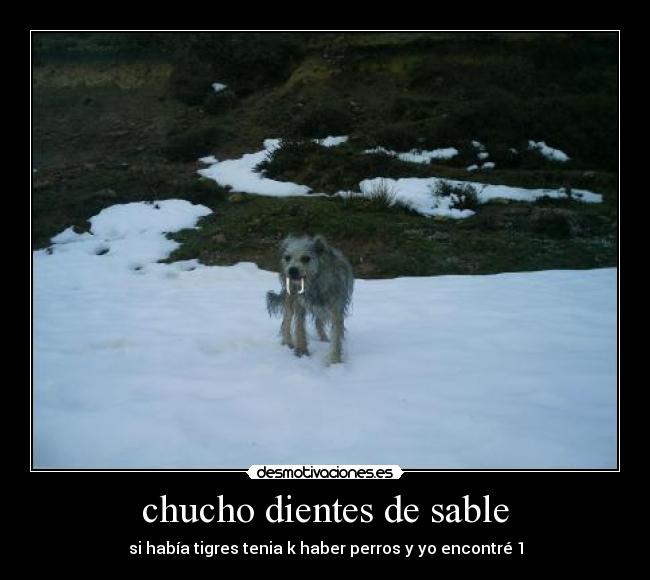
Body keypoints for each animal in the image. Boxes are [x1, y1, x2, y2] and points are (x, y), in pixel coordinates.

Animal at [266, 234, 352, 362]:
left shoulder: (336, 308)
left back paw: (324, 339)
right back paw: (287, 342)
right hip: (290, 298)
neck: (314, 283)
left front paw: (334, 361)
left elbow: (336, 334)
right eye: (287, 257)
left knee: (318, 321)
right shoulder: (300, 305)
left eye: (306, 258)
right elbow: (300, 328)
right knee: (287, 319)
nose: (292, 270)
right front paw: (302, 352)